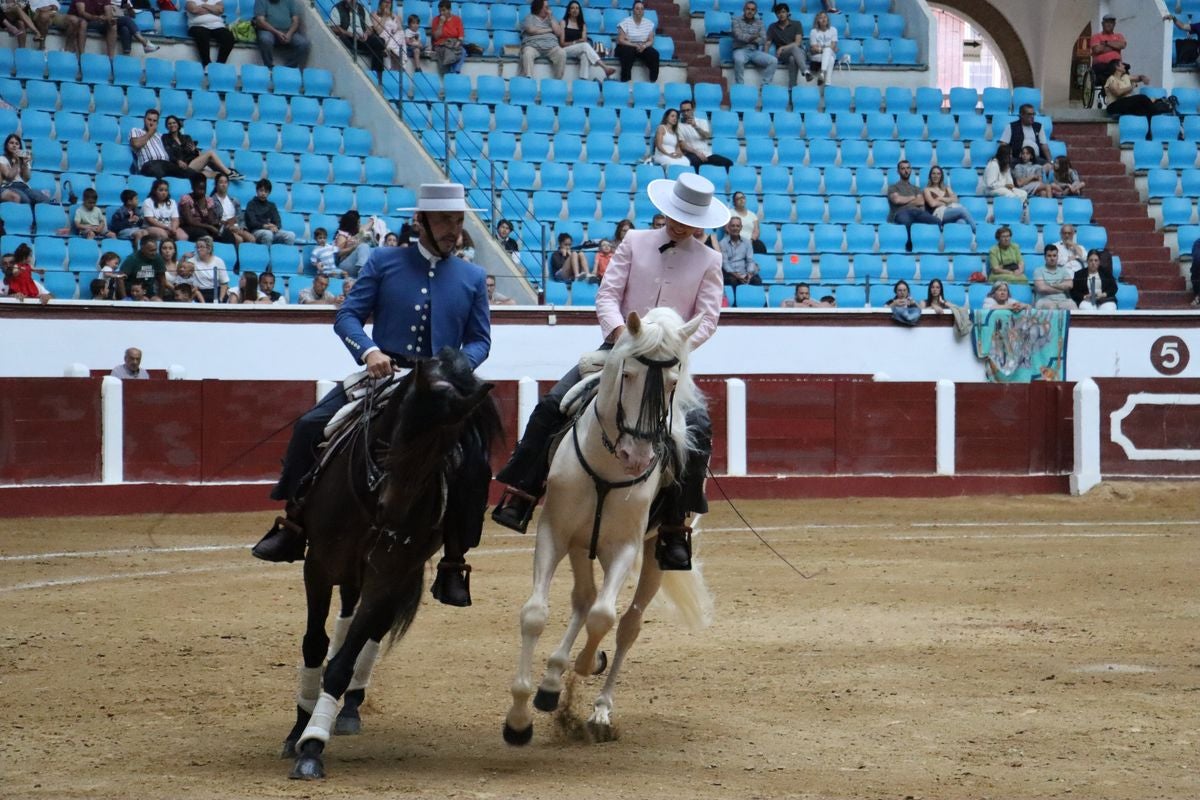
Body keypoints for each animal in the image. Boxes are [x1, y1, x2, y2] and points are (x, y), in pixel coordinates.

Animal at [280, 347, 500, 780]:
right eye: (403, 430)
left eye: (448, 449)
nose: (393, 512)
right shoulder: (318, 565)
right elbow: (314, 644)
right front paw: (298, 727)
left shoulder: (388, 574)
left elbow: (343, 662)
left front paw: (312, 746)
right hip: (348, 570)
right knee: (345, 617)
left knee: (369, 633)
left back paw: (347, 709)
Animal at [503, 308, 714, 745]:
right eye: (628, 374)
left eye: (674, 381)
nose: (638, 456)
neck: (608, 466)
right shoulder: (554, 532)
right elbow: (535, 613)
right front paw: (518, 719)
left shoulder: (625, 547)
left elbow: (605, 616)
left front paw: (587, 664)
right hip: (582, 544)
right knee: (583, 598)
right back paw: (551, 682)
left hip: (653, 553)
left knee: (627, 623)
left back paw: (600, 709)